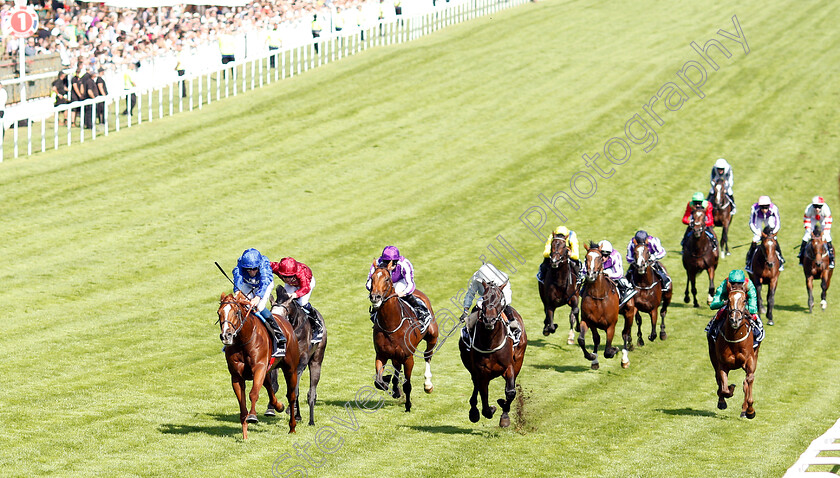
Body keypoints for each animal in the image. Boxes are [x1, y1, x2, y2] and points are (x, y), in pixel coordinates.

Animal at [218, 290, 300, 438]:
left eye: (236, 312)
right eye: (219, 313)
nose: (226, 336)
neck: (243, 341)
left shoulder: (259, 368)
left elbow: (253, 393)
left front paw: (252, 416)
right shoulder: (236, 376)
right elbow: (242, 405)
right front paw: (245, 436)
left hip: (291, 369)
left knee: (291, 396)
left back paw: (292, 427)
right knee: (269, 387)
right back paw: (278, 406)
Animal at [270, 288, 326, 426]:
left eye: (283, 315)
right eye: (271, 314)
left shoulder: (301, 363)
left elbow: (295, 390)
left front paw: (291, 410)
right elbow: (275, 385)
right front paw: (271, 409)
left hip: (316, 361)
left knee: (311, 392)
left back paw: (311, 420)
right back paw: (297, 414)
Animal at [370, 268, 442, 412]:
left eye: (387, 279)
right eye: (372, 278)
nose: (375, 297)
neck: (391, 325)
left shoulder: (408, 358)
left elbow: (407, 385)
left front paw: (408, 405)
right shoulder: (381, 354)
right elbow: (378, 382)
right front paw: (389, 384)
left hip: (432, 337)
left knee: (427, 356)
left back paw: (428, 385)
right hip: (396, 356)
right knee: (397, 368)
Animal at [460, 280, 524, 426]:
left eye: (500, 300)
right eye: (484, 299)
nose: (489, 320)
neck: (490, 342)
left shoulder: (509, 366)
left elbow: (510, 392)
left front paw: (504, 413)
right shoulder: (482, 371)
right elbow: (484, 395)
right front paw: (490, 409)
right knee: (476, 385)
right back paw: (474, 412)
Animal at [708, 284, 760, 418]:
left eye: (745, 300)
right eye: (728, 300)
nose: (735, 320)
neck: (735, 340)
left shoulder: (750, 360)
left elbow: (749, 380)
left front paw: (750, 411)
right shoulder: (722, 364)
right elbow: (724, 388)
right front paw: (729, 391)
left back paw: (744, 410)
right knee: (718, 378)